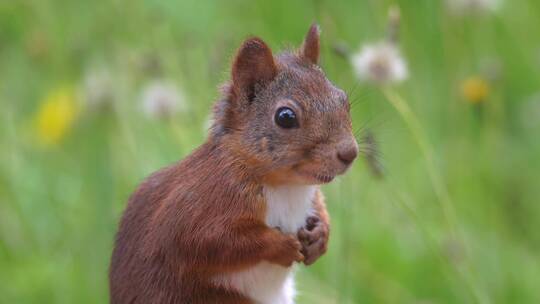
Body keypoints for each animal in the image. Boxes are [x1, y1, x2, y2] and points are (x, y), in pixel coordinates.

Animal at [109, 24, 358, 304]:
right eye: (285, 117)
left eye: (343, 100)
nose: (350, 153)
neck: (286, 187)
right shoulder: (199, 205)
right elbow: (209, 242)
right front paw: (282, 246)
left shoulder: (309, 194)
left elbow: (320, 207)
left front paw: (321, 236)